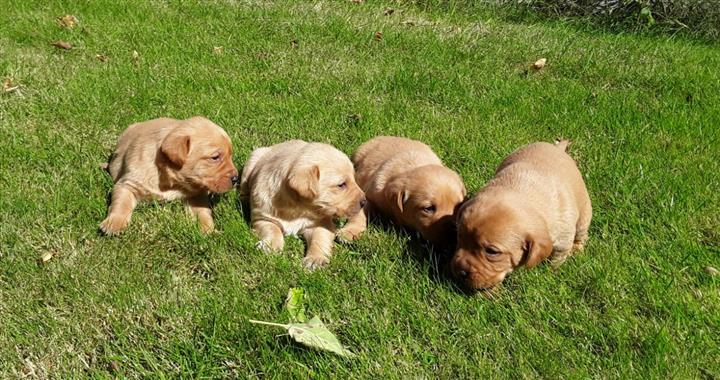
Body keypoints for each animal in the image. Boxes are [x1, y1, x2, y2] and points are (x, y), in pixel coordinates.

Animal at [100, 116, 239, 235]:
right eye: (215, 157)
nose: (236, 179)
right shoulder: (128, 184)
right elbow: (121, 203)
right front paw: (114, 223)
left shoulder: (196, 194)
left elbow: (202, 210)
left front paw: (207, 229)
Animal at [239, 140, 366, 270]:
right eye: (341, 185)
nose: (364, 201)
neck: (298, 208)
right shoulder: (263, 218)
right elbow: (273, 229)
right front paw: (270, 245)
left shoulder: (321, 223)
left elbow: (319, 239)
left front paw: (316, 259)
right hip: (253, 158)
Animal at [450, 140, 592, 290]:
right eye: (459, 236)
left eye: (492, 252)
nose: (460, 271)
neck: (522, 191)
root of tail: (557, 148)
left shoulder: (563, 242)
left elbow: (556, 260)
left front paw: (551, 272)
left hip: (584, 214)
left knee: (582, 234)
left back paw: (577, 248)